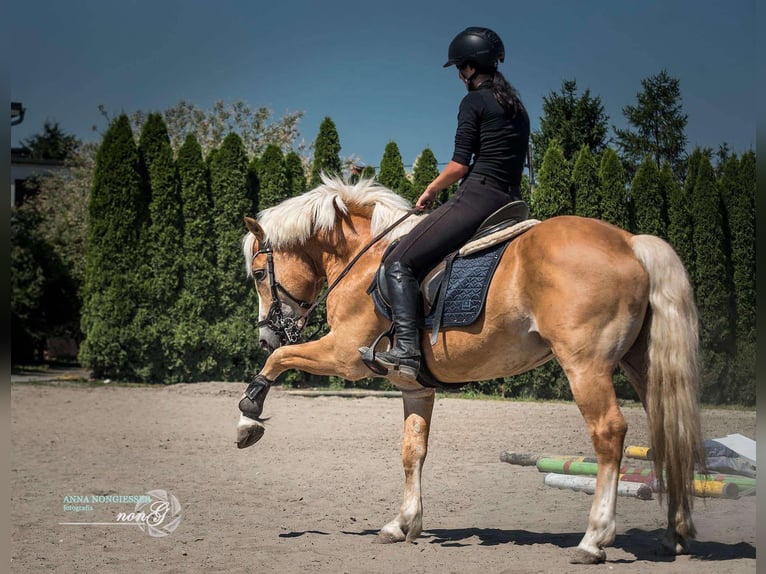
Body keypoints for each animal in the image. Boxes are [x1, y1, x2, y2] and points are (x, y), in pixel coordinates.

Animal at [236, 176, 708, 568]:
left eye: (259, 274)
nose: (266, 335)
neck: (363, 260)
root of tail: (630, 242)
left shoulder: (343, 354)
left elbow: (280, 361)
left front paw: (248, 418)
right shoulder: (414, 387)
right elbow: (412, 451)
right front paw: (402, 524)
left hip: (585, 365)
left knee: (609, 433)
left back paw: (594, 540)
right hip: (642, 366)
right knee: (670, 431)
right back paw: (676, 534)